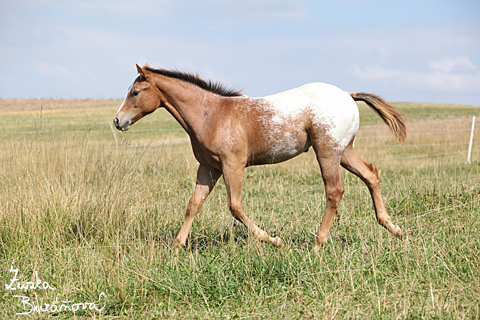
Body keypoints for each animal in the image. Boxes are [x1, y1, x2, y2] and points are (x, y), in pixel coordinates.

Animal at [114, 63, 406, 251]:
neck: (212, 115)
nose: (118, 121)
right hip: (344, 151)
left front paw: (273, 240)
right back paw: (393, 228)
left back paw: (317, 245)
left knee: (334, 190)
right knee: (370, 173)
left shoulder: (233, 164)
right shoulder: (208, 167)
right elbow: (193, 205)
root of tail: (348, 95)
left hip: (327, 152)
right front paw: (176, 247)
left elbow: (235, 206)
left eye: (135, 92)